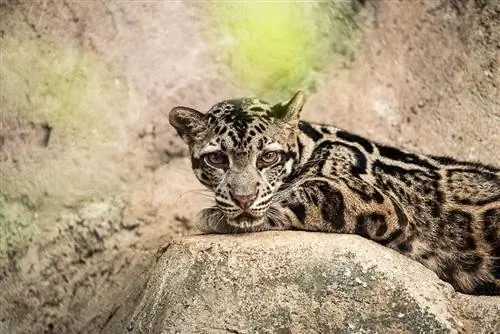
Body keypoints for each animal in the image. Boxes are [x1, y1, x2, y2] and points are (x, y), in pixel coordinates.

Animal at [170, 90, 498, 294]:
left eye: (268, 157)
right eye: (216, 159)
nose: (243, 198)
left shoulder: (372, 200)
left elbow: (298, 196)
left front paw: (214, 215)